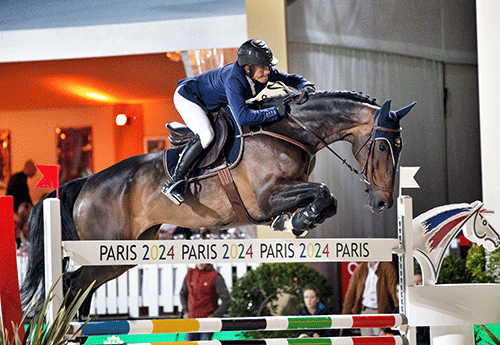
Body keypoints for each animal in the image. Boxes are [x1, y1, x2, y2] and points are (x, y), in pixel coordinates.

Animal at [21, 89, 416, 318]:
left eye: (400, 147)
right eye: (384, 146)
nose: (382, 201)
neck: (289, 131)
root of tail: (85, 183)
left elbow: (326, 199)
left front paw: (296, 220)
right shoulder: (264, 199)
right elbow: (322, 193)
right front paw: (299, 220)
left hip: (123, 255)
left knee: (79, 286)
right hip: (106, 248)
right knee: (73, 284)